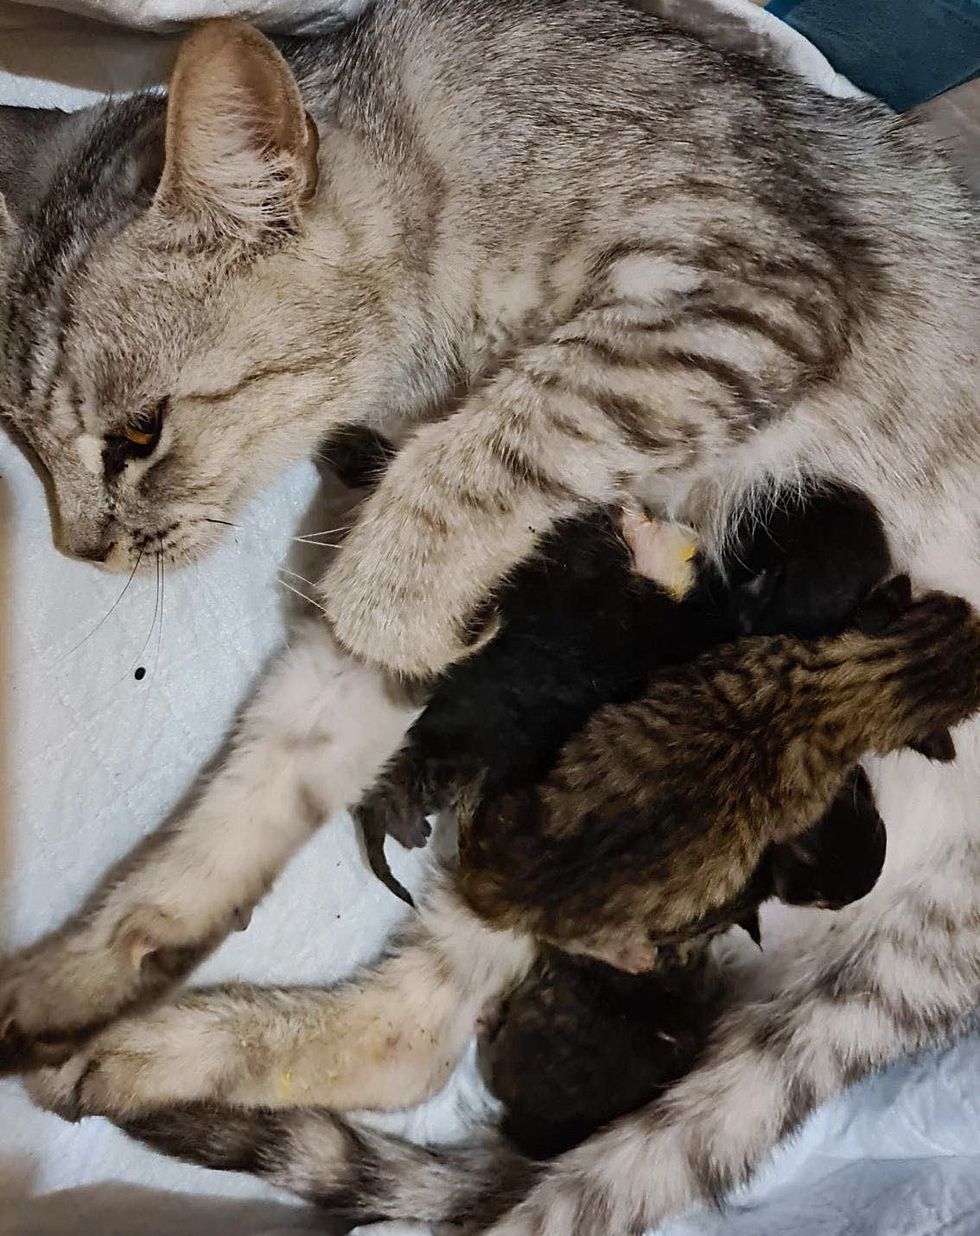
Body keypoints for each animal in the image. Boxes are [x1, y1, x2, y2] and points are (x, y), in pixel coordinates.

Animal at [0, 2, 973, 1236]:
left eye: (137, 435)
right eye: (28, 447)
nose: (84, 547)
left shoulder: (748, 289)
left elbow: (501, 437)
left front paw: (393, 587)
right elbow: (262, 779)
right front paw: (99, 958)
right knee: (417, 1035)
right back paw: (154, 1049)